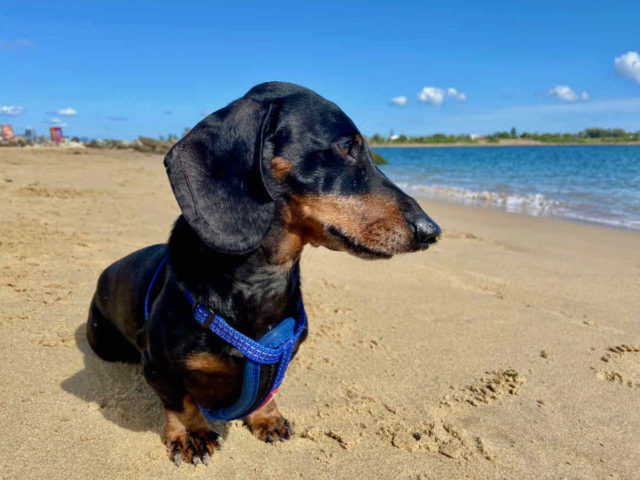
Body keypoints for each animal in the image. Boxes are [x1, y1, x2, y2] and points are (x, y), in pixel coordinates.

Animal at [86, 82, 440, 464]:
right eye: (346, 146)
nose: (431, 231)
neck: (260, 281)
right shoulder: (158, 365)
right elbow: (180, 402)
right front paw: (192, 434)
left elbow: (268, 391)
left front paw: (266, 418)